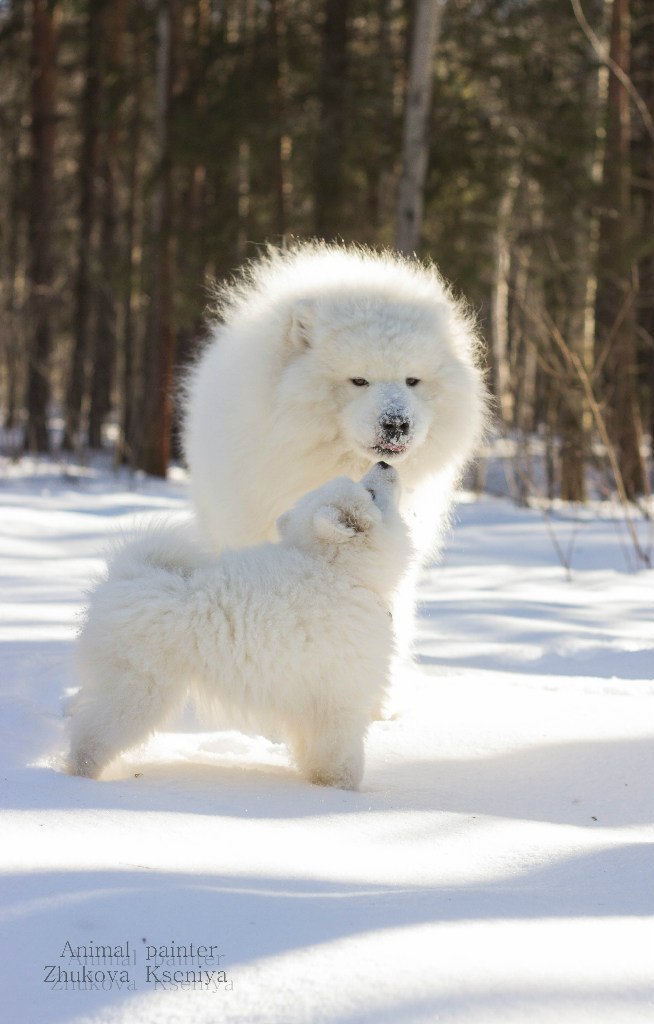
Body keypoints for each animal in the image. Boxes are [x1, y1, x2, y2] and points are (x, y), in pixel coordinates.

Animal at [69, 464, 411, 790]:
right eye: (370, 494)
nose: (383, 461)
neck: (339, 571)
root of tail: (128, 576)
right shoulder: (340, 698)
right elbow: (342, 753)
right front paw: (343, 789)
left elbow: (314, 751)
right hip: (139, 690)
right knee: (92, 738)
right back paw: (81, 778)